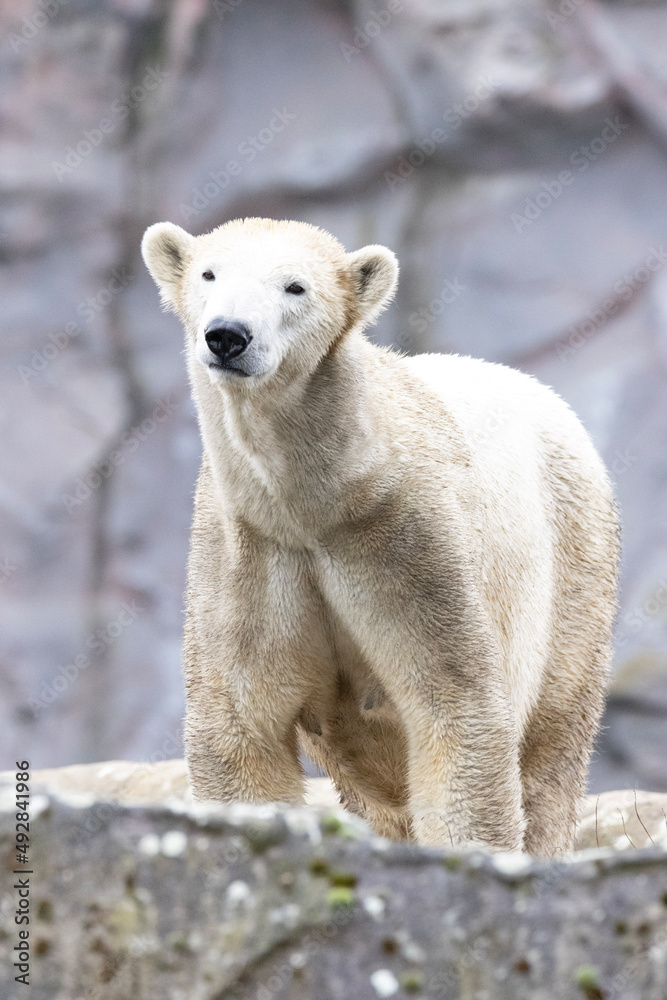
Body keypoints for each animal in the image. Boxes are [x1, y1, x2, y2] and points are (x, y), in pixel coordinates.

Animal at [141, 217, 619, 856]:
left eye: (295, 286)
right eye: (208, 274)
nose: (228, 336)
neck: (316, 503)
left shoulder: (407, 541)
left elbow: (456, 708)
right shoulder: (249, 549)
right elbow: (241, 726)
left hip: (572, 563)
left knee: (551, 745)